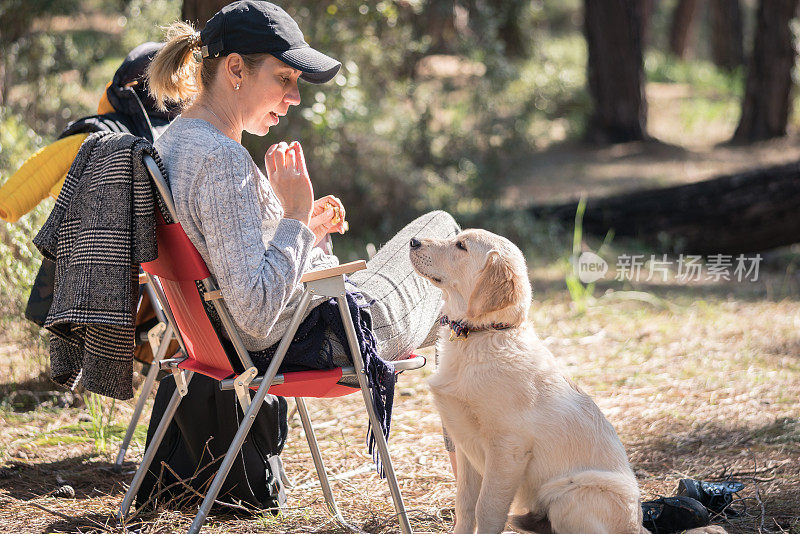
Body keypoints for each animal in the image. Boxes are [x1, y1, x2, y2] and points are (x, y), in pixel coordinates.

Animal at [412, 231, 648, 534]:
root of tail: (638, 526)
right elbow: (464, 507)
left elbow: (486, 509)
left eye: (461, 246)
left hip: (570, 495)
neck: (482, 334)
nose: (413, 241)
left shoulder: (508, 449)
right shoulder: (464, 445)